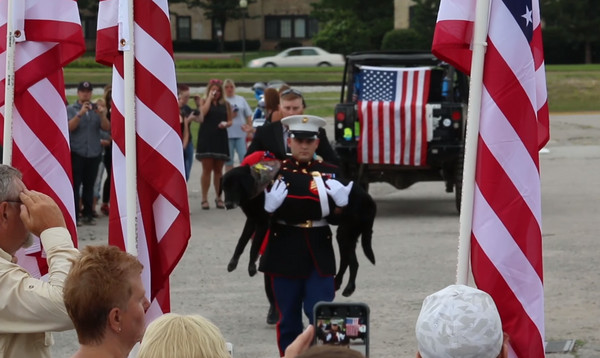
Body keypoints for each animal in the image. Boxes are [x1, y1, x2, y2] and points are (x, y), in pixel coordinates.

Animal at [223, 162, 378, 296]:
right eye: (224, 188)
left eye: (234, 186)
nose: (227, 205)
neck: (259, 182)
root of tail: (368, 197)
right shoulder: (252, 220)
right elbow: (241, 242)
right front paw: (233, 262)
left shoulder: (262, 221)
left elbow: (254, 246)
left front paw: (251, 267)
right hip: (344, 234)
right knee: (347, 260)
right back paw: (339, 282)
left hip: (346, 234)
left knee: (353, 262)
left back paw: (349, 287)